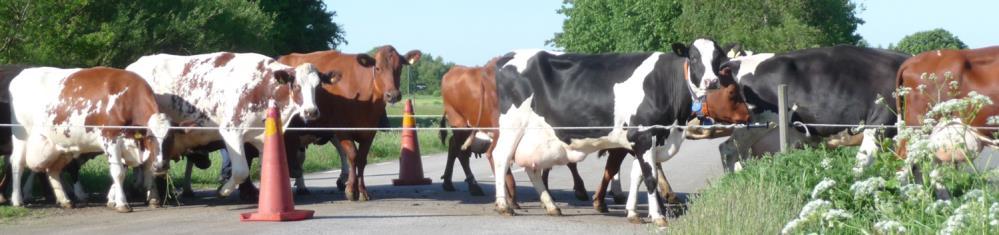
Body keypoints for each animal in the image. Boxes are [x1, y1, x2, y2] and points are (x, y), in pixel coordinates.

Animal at [6, 66, 174, 211]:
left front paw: (115, 199)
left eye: (169, 138)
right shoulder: (110, 139)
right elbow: (118, 172)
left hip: (60, 145)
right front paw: (121, 203)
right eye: (150, 137)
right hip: (21, 136)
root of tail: (23, 74)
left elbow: (134, 169)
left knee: (53, 170)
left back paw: (65, 200)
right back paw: (17, 200)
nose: (161, 165)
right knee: (17, 163)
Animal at [126, 51, 332, 196]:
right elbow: (241, 171)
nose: (311, 111)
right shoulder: (230, 131)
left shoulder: (262, 138)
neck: (261, 86)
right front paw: (223, 190)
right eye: (296, 86)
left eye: (318, 86)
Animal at [278, 45, 422, 201]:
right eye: (377, 68)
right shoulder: (342, 129)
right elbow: (352, 156)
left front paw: (362, 190)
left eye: (400, 67)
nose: (393, 95)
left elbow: (361, 159)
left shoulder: (369, 132)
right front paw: (352, 190)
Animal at [492, 38, 752, 226]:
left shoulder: (645, 140)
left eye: (718, 59)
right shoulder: (645, 135)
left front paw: (632, 213)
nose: (711, 81)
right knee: (501, 158)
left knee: (531, 167)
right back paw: (504, 205)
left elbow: (637, 175)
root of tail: (506, 57)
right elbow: (650, 177)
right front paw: (658, 217)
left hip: (535, 136)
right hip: (512, 126)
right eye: (695, 57)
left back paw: (551, 206)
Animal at [716, 45, 912, 173]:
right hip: (754, 125)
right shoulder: (880, 124)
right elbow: (862, 164)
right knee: (729, 150)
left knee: (733, 152)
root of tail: (736, 61)